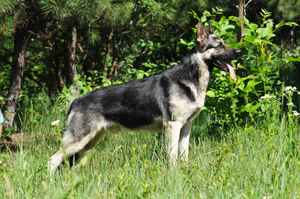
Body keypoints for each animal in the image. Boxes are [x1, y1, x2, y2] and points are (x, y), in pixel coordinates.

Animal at [48, 21, 241, 174]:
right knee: (52, 160)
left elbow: (184, 154)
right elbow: (172, 157)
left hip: (88, 142)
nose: (239, 51)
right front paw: (174, 175)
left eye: (224, 44)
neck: (191, 78)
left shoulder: (186, 128)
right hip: (79, 141)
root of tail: (75, 101)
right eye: (220, 45)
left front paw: (185, 171)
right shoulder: (173, 127)